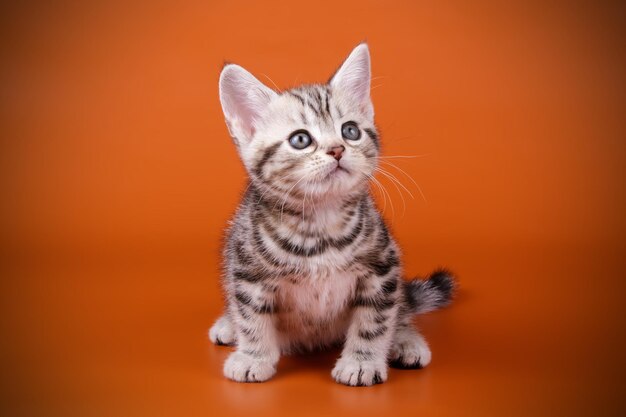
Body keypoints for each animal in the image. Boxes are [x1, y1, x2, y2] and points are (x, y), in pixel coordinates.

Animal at [210, 44, 454, 386]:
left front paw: (362, 362)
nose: (338, 149)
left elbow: (376, 320)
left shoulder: (383, 267)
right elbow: (251, 318)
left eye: (350, 131)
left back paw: (406, 340)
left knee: (401, 309)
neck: (319, 223)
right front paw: (252, 356)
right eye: (300, 139)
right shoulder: (246, 271)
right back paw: (227, 324)